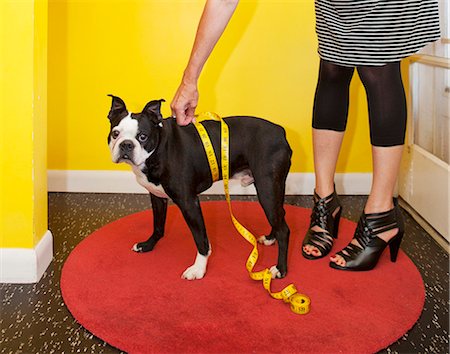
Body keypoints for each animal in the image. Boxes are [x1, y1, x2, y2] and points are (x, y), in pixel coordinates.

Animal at [107, 95, 294, 280]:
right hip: (273, 190)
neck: (158, 149)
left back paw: (280, 269)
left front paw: (198, 269)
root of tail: (280, 132)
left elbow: (201, 240)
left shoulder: (189, 203)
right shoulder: (157, 197)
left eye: (143, 137)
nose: (126, 144)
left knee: (283, 229)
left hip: (266, 190)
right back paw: (270, 238)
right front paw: (148, 245)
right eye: (115, 133)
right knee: (280, 215)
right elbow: (158, 225)